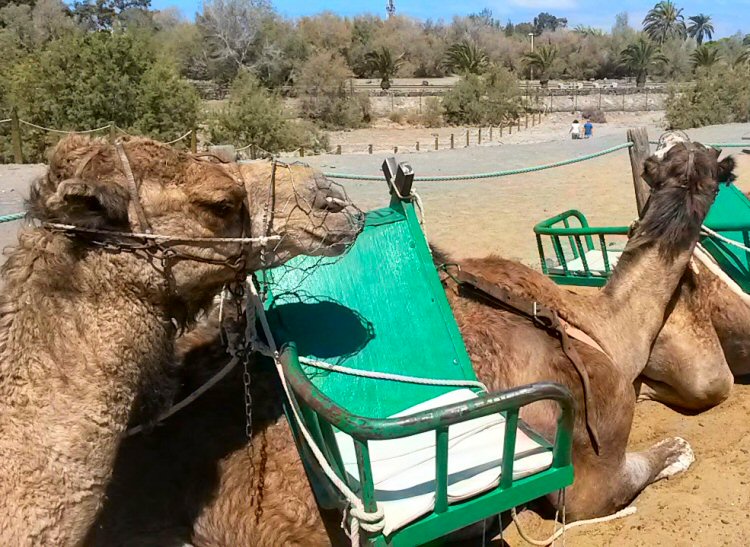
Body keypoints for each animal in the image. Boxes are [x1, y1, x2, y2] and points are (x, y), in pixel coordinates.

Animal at [88, 141, 735, 545]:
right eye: (710, 167)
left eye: (691, 163)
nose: (707, 155)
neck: (593, 324)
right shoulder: (585, 452)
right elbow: (627, 476)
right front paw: (678, 448)